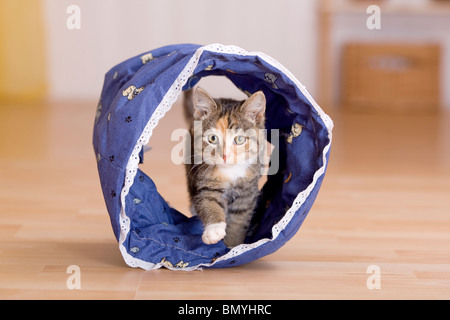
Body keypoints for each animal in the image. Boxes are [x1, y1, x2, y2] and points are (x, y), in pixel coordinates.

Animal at [184, 87, 266, 248]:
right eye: (212, 138)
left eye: (239, 139)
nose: (225, 156)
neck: (230, 171)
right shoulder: (204, 177)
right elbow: (207, 200)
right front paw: (214, 230)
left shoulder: (248, 188)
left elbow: (240, 218)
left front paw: (232, 245)